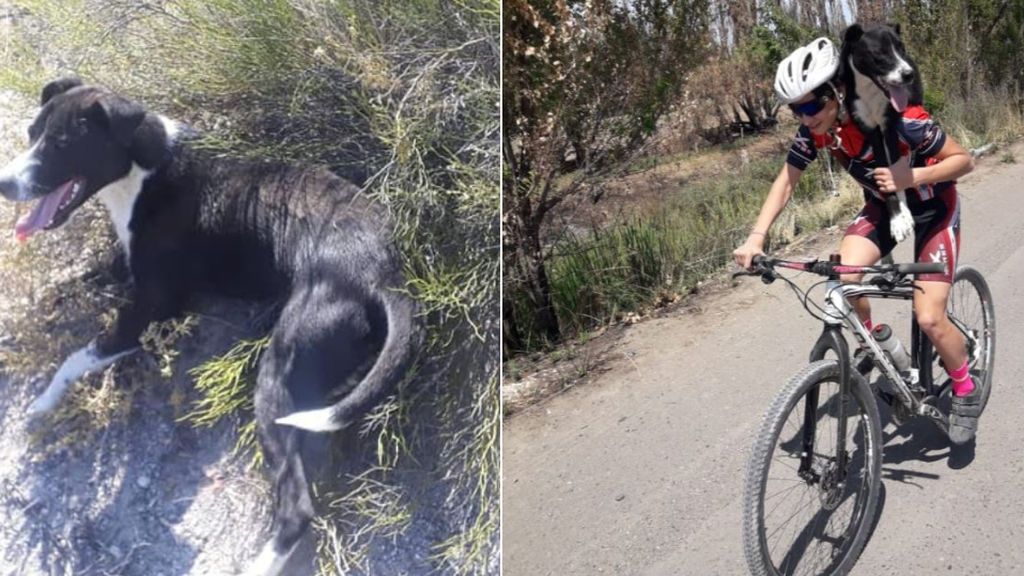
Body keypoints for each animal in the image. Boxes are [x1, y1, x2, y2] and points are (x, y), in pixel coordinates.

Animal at [0, 77, 419, 573]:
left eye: (63, 143)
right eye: (31, 133)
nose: (4, 184)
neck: (146, 170)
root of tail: (386, 276)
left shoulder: (151, 309)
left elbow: (77, 356)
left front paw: (43, 402)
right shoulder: (127, 271)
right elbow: (70, 282)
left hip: (279, 371)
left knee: (296, 506)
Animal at [835, 21, 925, 241]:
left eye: (901, 47)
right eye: (879, 53)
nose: (908, 74)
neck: (869, 89)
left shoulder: (888, 126)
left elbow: (894, 172)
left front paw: (903, 216)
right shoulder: (871, 130)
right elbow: (884, 172)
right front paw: (897, 219)